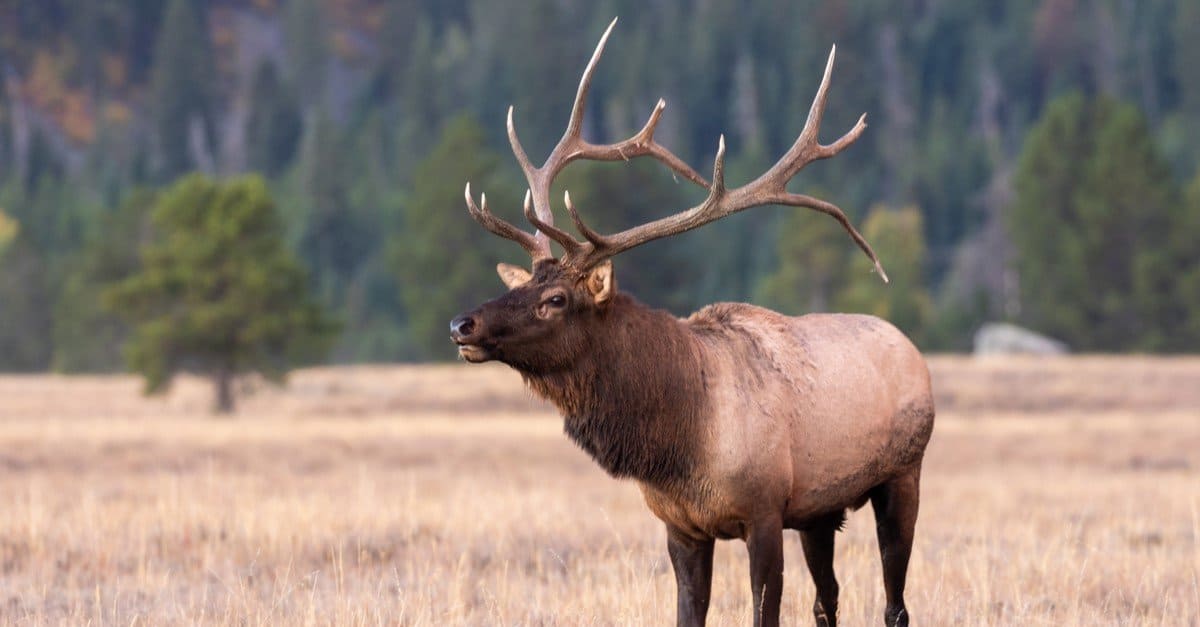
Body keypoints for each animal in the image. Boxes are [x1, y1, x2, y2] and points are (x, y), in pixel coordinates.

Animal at [451, 18, 936, 624]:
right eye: (519, 286)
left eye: (557, 298)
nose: (462, 325)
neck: (680, 443)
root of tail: (911, 349)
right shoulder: (681, 526)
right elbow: (689, 612)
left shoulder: (764, 511)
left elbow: (765, 611)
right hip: (820, 511)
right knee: (828, 599)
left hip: (903, 474)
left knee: (896, 603)